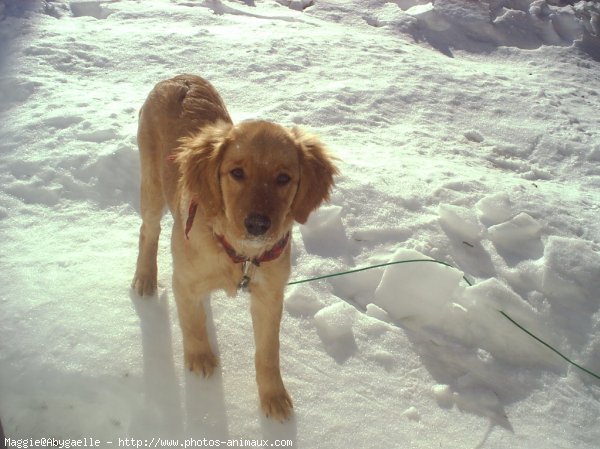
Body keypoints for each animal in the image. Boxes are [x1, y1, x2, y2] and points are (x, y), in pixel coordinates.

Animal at [131, 73, 338, 420]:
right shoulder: (185, 280)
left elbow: (268, 352)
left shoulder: (269, 295)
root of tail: (180, 78)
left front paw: (273, 396)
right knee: (148, 230)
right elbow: (193, 323)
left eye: (284, 178)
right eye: (237, 173)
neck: (240, 253)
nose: (257, 225)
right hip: (152, 185)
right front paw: (200, 357)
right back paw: (145, 277)